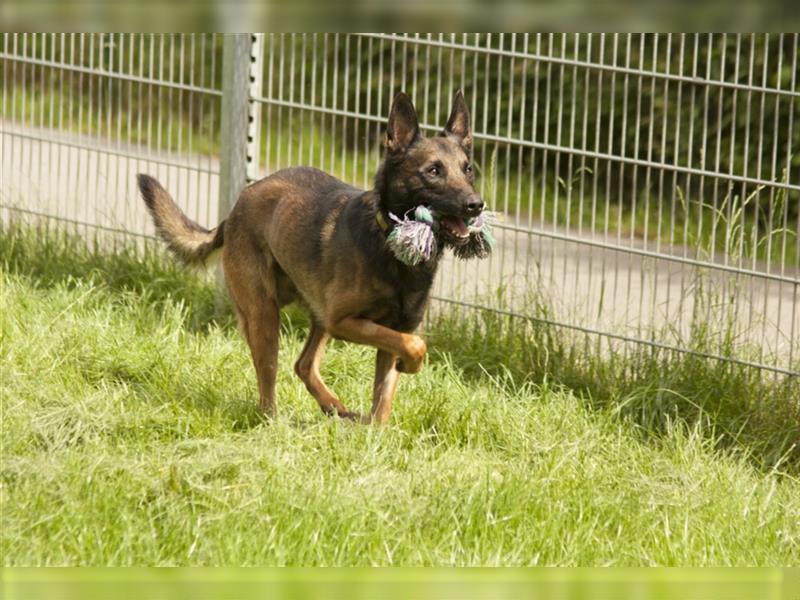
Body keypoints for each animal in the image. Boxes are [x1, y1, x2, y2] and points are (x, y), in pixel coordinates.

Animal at [138, 91, 484, 424]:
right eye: (434, 171)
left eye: (468, 169)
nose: (476, 204)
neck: (391, 246)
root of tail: (236, 208)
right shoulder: (344, 321)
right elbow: (415, 346)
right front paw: (411, 366)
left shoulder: (395, 328)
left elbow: (384, 400)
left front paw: (377, 432)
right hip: (267, 316)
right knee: (268, 380)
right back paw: (276, 421)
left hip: (315, 315)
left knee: (303, 364)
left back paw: (335, 407)